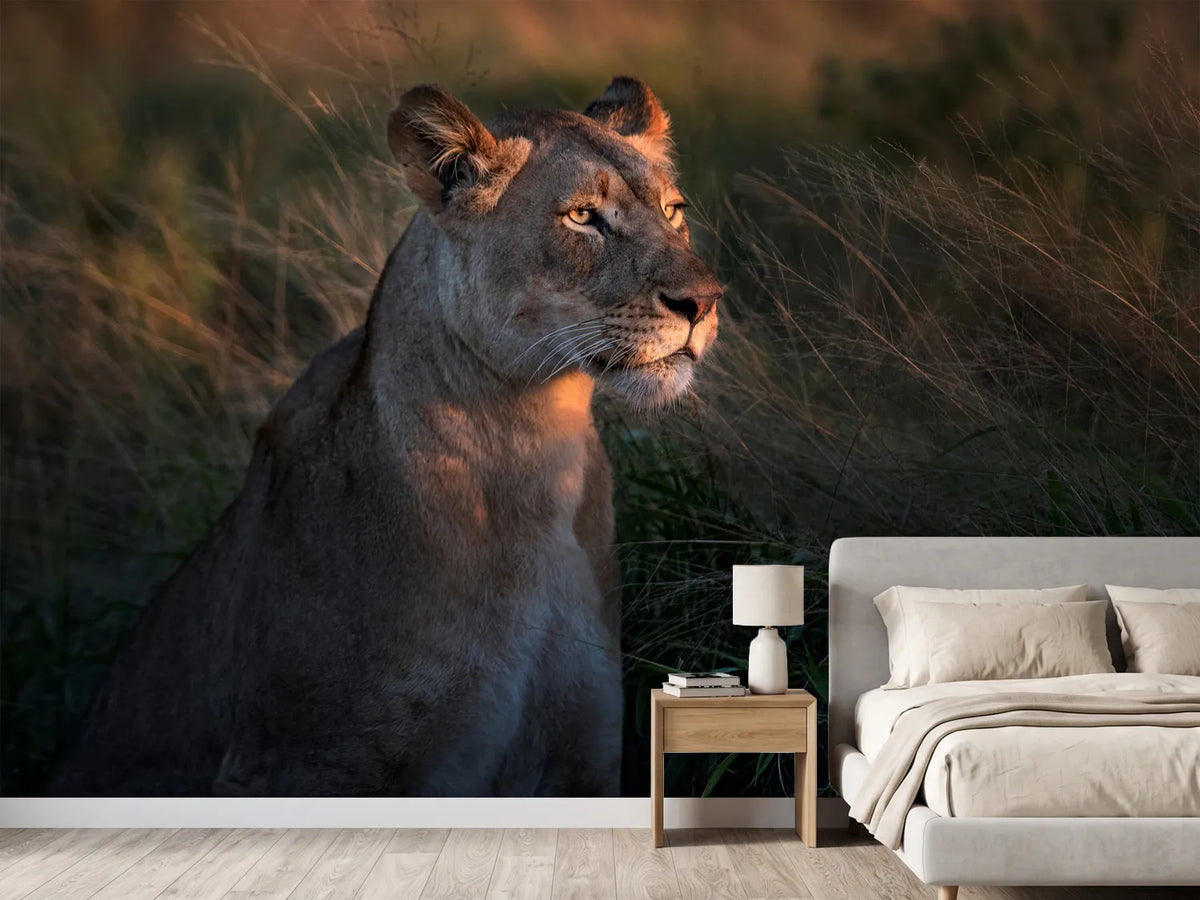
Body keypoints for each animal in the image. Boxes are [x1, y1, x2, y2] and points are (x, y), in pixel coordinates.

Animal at [51, 77, 720, 797]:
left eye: (674, 210)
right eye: (582, 217)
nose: (705, 301)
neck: (536, 444)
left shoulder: (584, 756)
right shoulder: (304, 767)